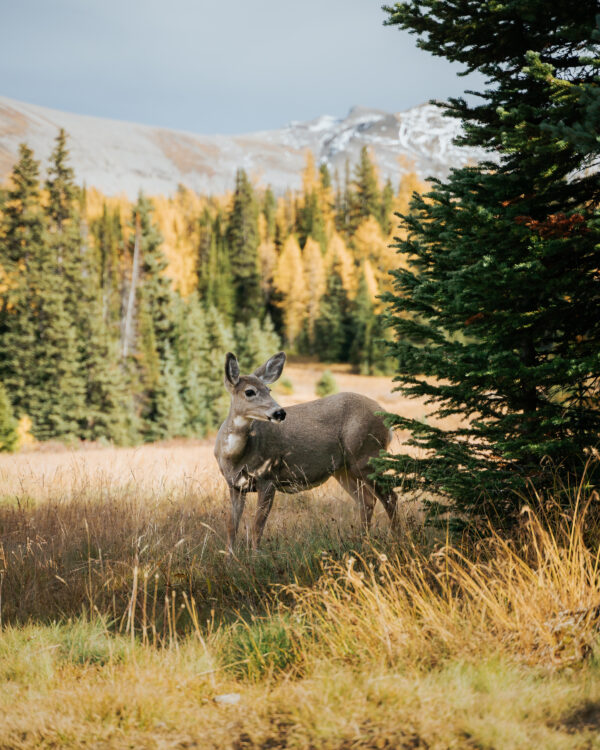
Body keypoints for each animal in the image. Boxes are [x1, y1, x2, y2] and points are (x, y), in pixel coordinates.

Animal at [213, 352, 396, 552]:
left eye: (269, 390)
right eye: (249, 392)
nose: (279, 413)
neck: (236, 457)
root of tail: (386, 418)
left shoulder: (268, 476)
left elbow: (257, 526)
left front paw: (255, 556)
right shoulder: (234, 485)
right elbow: (232, 526)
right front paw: (230, 556)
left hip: (367, 456)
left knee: (390, 498)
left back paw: (397, 538)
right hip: (344, 469)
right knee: (367, 501)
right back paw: (362, 543)